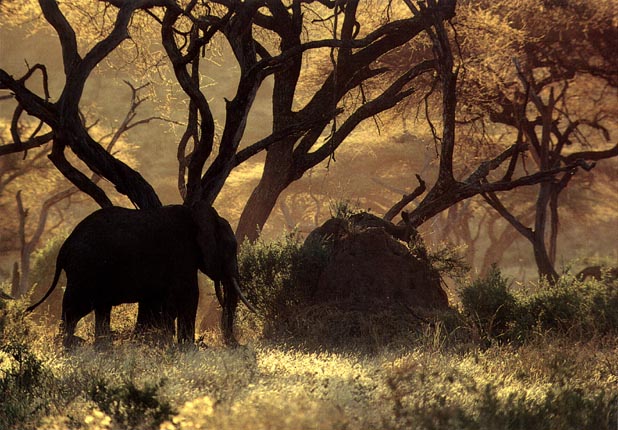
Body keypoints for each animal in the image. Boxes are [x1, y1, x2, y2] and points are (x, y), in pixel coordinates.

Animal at [24, 202, 253, 350]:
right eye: (231, 248)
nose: (239, 345)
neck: (199, 215)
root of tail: (64, 247)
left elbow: (157, 302)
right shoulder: (181, 254)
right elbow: (188, 296)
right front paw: (186, 348)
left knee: (100, 308)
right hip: (85, 270)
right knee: (75, 309)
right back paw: (69, 347)